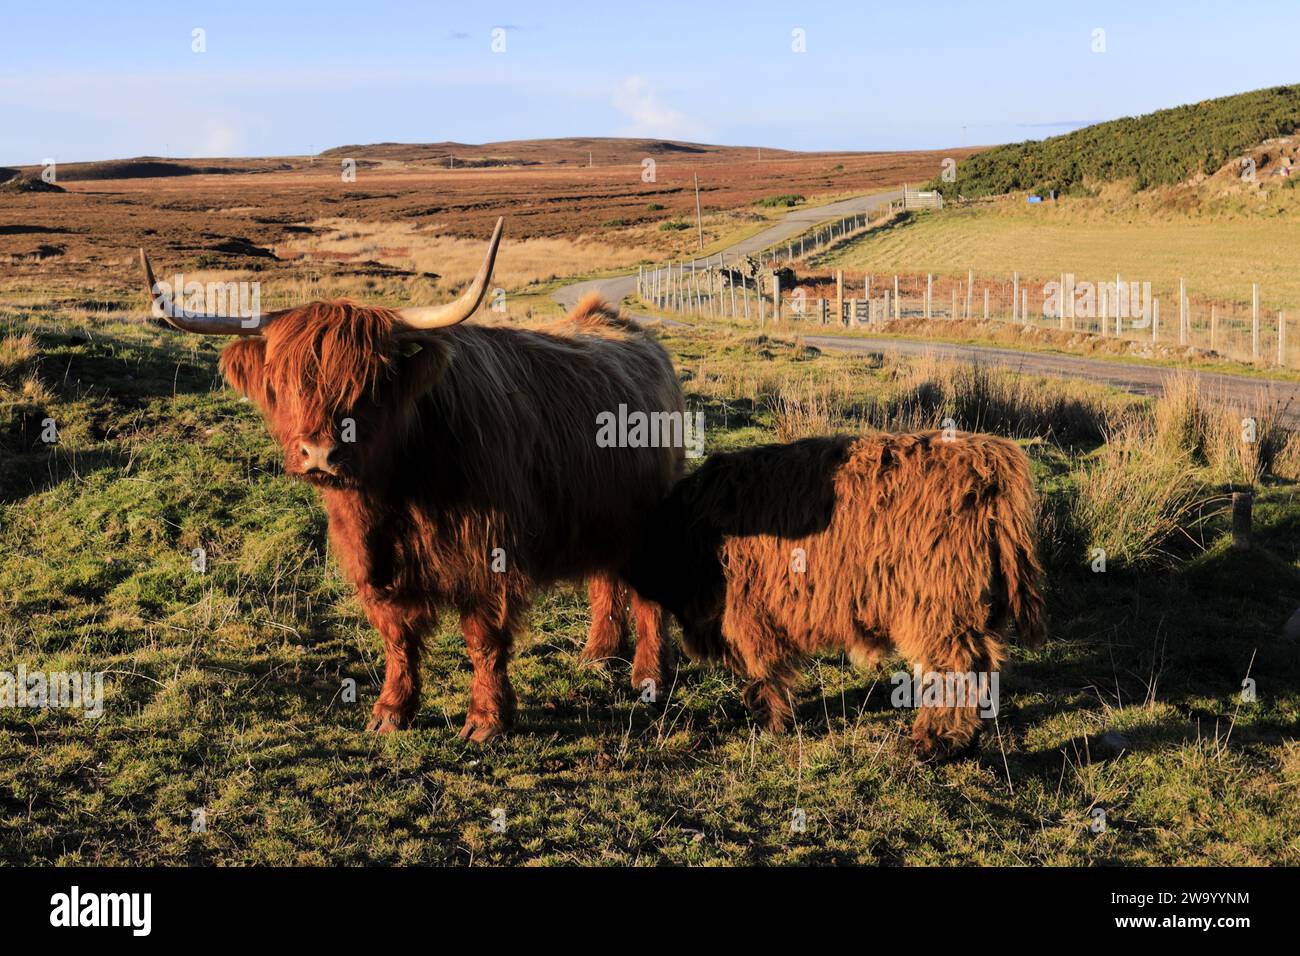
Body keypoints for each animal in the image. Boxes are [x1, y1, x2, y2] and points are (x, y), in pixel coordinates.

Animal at [142, 221, 686, 743]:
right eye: (284, 377)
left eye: (372, 381)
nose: (320, 453)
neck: (394, 490)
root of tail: (626, 329)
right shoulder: (372, 562)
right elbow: (397, 636)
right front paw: (391, 711)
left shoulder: (489, 554)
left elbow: (484, 638)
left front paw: (486, 720)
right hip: (603, 513)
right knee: (606, 580)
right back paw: (599, 655)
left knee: (647, 596)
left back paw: (648, 676)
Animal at [621, 431, 1045, 754]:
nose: (634, 578)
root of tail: (987, 461)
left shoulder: (752, 610)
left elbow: (764, 667)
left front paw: (770, 719)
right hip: (976, 612)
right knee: (983, 665)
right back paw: (966, 737)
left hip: (941, 610)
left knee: (955, 667)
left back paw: (934, 742)